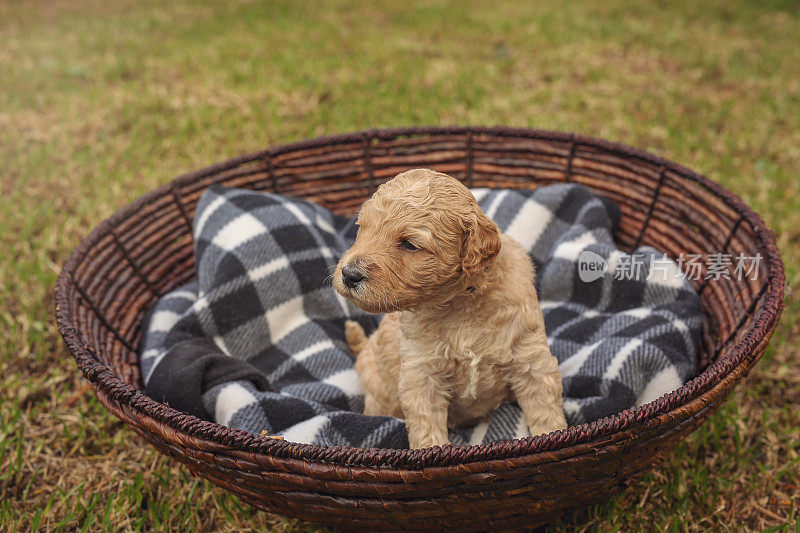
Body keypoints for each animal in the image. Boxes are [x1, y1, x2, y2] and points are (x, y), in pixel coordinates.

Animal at [332, 168, 568, 446]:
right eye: (361, 230)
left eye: (409, 244)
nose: (349, 274)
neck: (460, 302)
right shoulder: (421, 373)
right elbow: (426, 427)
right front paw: (434, 450)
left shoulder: (530, 358)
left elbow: (546, 409)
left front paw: (553, 436)